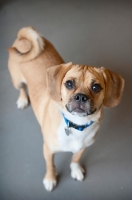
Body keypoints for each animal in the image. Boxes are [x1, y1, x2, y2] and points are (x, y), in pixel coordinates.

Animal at [7, 26, 124, 191]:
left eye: (96, 87)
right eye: (69, 84)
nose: (81, 97)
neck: (77, 124)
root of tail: (23, 38)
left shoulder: (83, 147)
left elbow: (75, 158)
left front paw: (75, 170)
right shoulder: (48, 150)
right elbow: (50, 166)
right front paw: (50, 179)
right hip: (17, 81)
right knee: (22, 88)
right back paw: (23, 99)